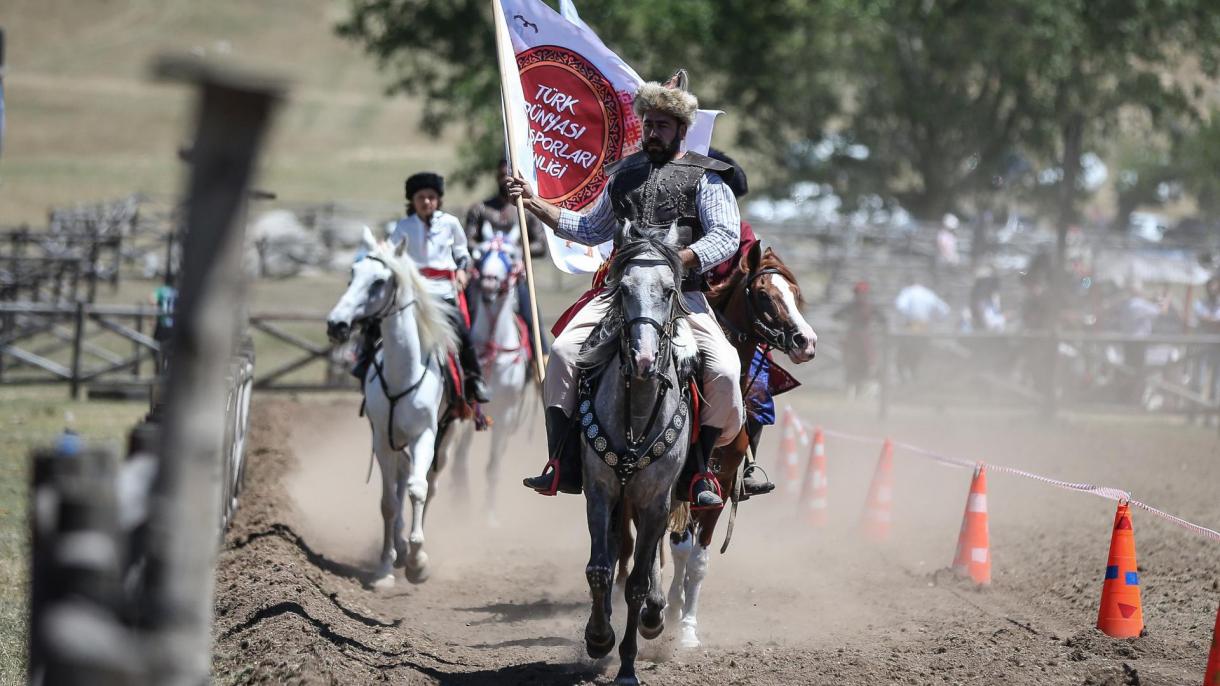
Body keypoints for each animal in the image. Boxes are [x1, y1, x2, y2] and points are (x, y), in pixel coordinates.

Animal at [324, 228, 458, 581]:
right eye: (352, 274)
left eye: (379, 281)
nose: (336, 324)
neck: (402, 373)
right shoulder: (383, 439)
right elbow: (388, 501)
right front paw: (386, 566)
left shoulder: (424, 434)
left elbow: (418, 489)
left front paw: (417, 562)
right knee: (398, 483)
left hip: (445, 436)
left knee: (428, 484)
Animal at [451, 229, 531, 522]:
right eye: (481, 251)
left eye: (511, 253)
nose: (488, 282)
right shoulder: (468, 410)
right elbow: (460, 459)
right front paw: (460, 503)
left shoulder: (506, 414)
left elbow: (493, 466)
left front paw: (490, 515)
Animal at [619, 241, 810, 644]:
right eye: (764, 294)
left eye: (795, 293)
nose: (806, 341)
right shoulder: (666, 488)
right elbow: (673, 546)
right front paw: (663, 609)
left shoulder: (715, 487)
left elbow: (698, 558)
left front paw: (686, 624)